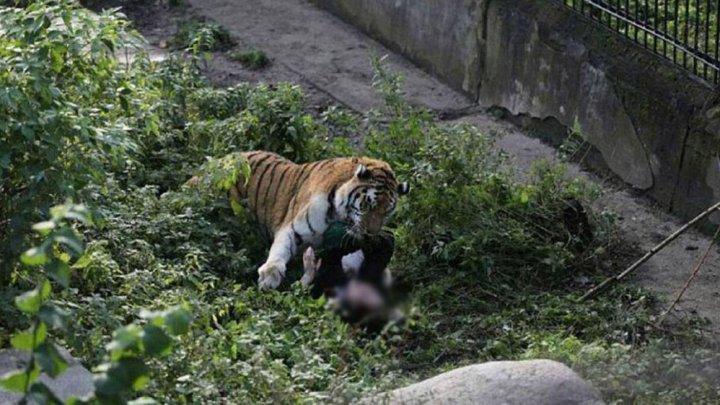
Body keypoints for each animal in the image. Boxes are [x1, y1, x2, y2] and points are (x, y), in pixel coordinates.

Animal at [232, 150, 410, 288]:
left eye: (386, 212)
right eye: (368, 204)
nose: (370, 234)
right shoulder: (292, 228)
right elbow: (280, 249)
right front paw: (270, 275)